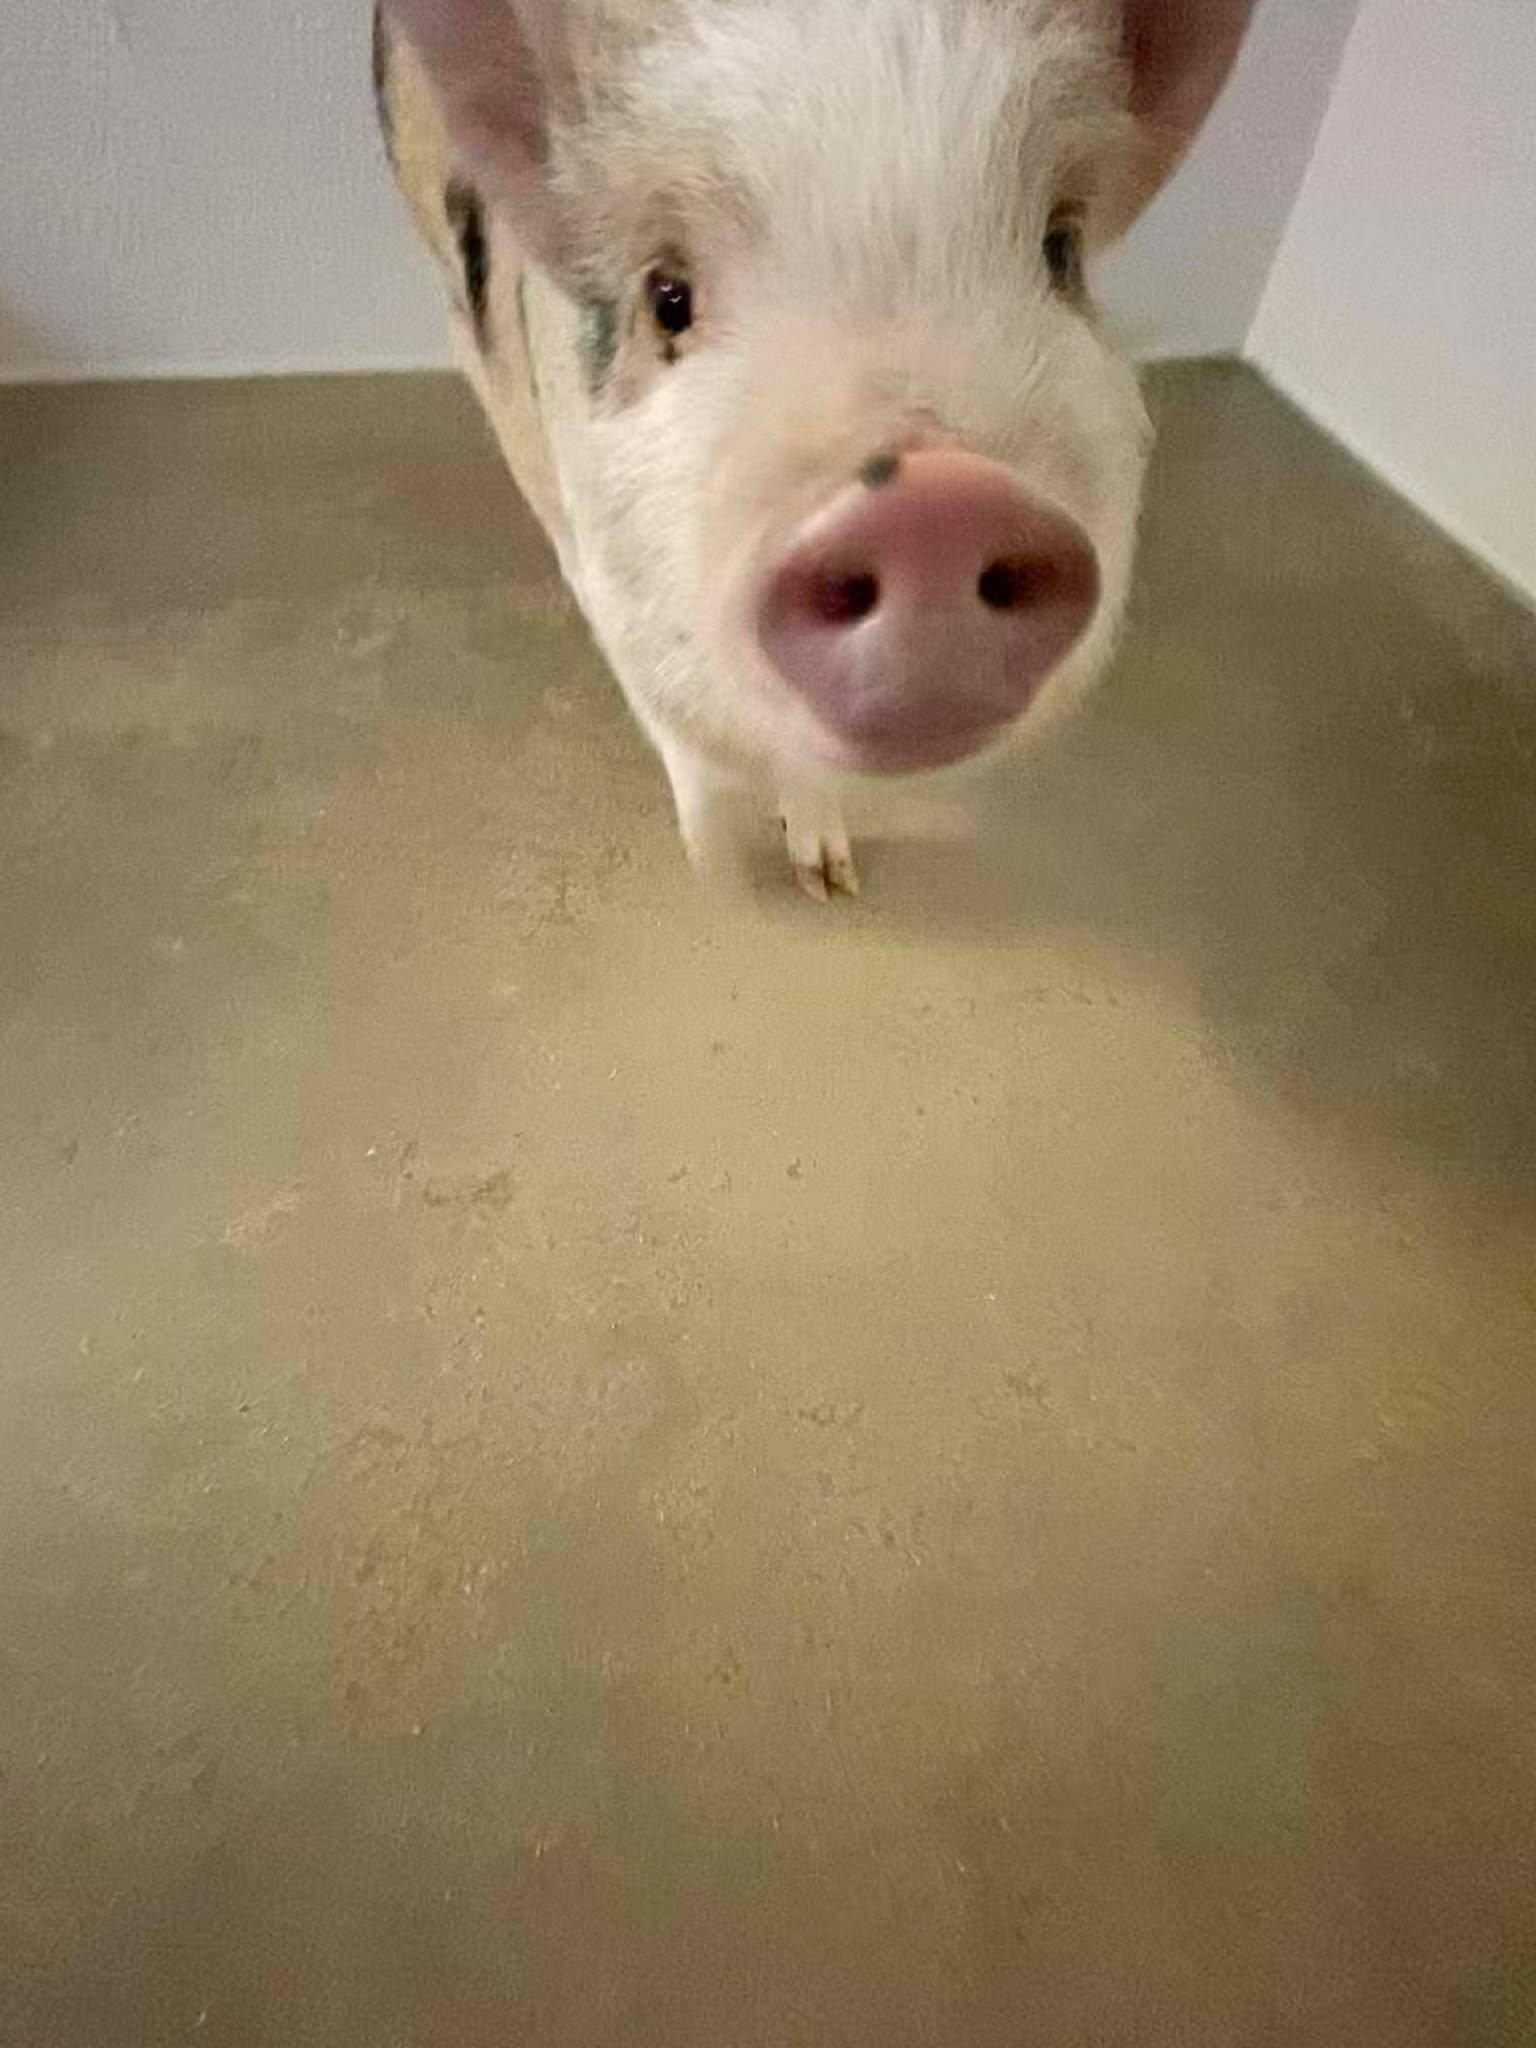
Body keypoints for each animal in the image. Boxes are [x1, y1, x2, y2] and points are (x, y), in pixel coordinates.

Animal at [372, 0, 1254, 897]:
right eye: (668, 299)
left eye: (1060, 251)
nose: (938, 500)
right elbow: (682, 731)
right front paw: (720, 879)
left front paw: (832, 882)